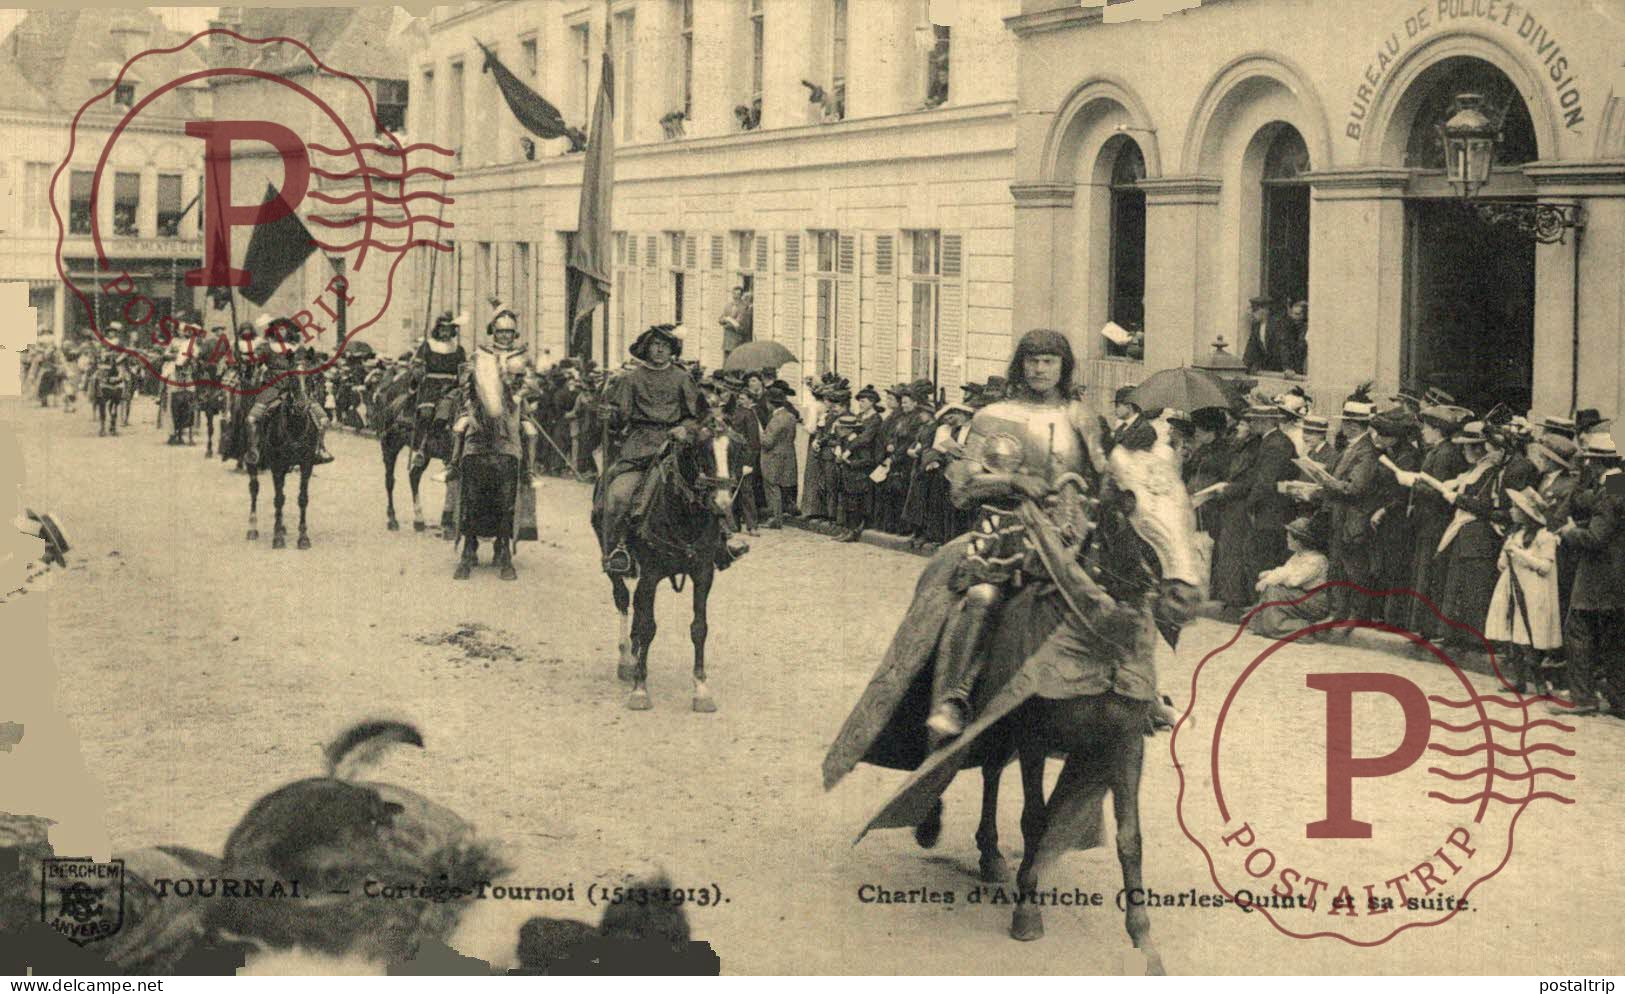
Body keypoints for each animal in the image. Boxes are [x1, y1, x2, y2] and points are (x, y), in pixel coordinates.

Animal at [245, 389, 321, 548]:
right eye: (292, 382)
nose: (301, 406)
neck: (295, 426)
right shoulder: (277, 465)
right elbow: (278, 499)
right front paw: (278, 538)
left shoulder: (306, 465)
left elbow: (302, 499)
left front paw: (303, 538)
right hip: (252, 460)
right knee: (254, 489)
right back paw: (253, 529)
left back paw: (281, 526)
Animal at [594, 419, 734, 714]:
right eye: (703, 451)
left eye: (733, 450)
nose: (723, 504)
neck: (684, 516)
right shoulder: (651, 574)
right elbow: (649, 626)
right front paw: (640, 689)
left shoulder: (703, 574)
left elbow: (699, 628)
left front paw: (701, 690)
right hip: (612, 562)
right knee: (623, 599)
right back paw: (626, 658)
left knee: (635, 605)